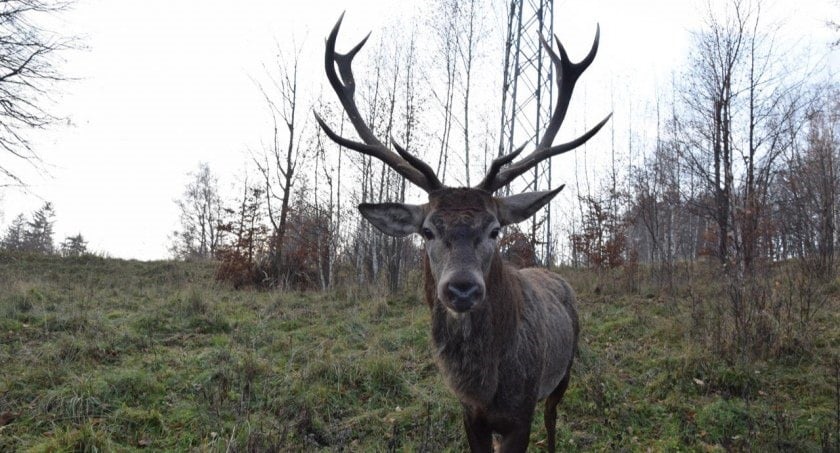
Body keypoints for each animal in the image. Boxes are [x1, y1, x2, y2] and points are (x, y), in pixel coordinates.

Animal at [316, 14, 612, 452]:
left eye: (495, 230)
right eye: (426, 231)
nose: (461, 288)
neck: (485, 386)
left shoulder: (521, 410)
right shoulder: (469, 414)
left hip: (566, 367)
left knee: (553, 417)